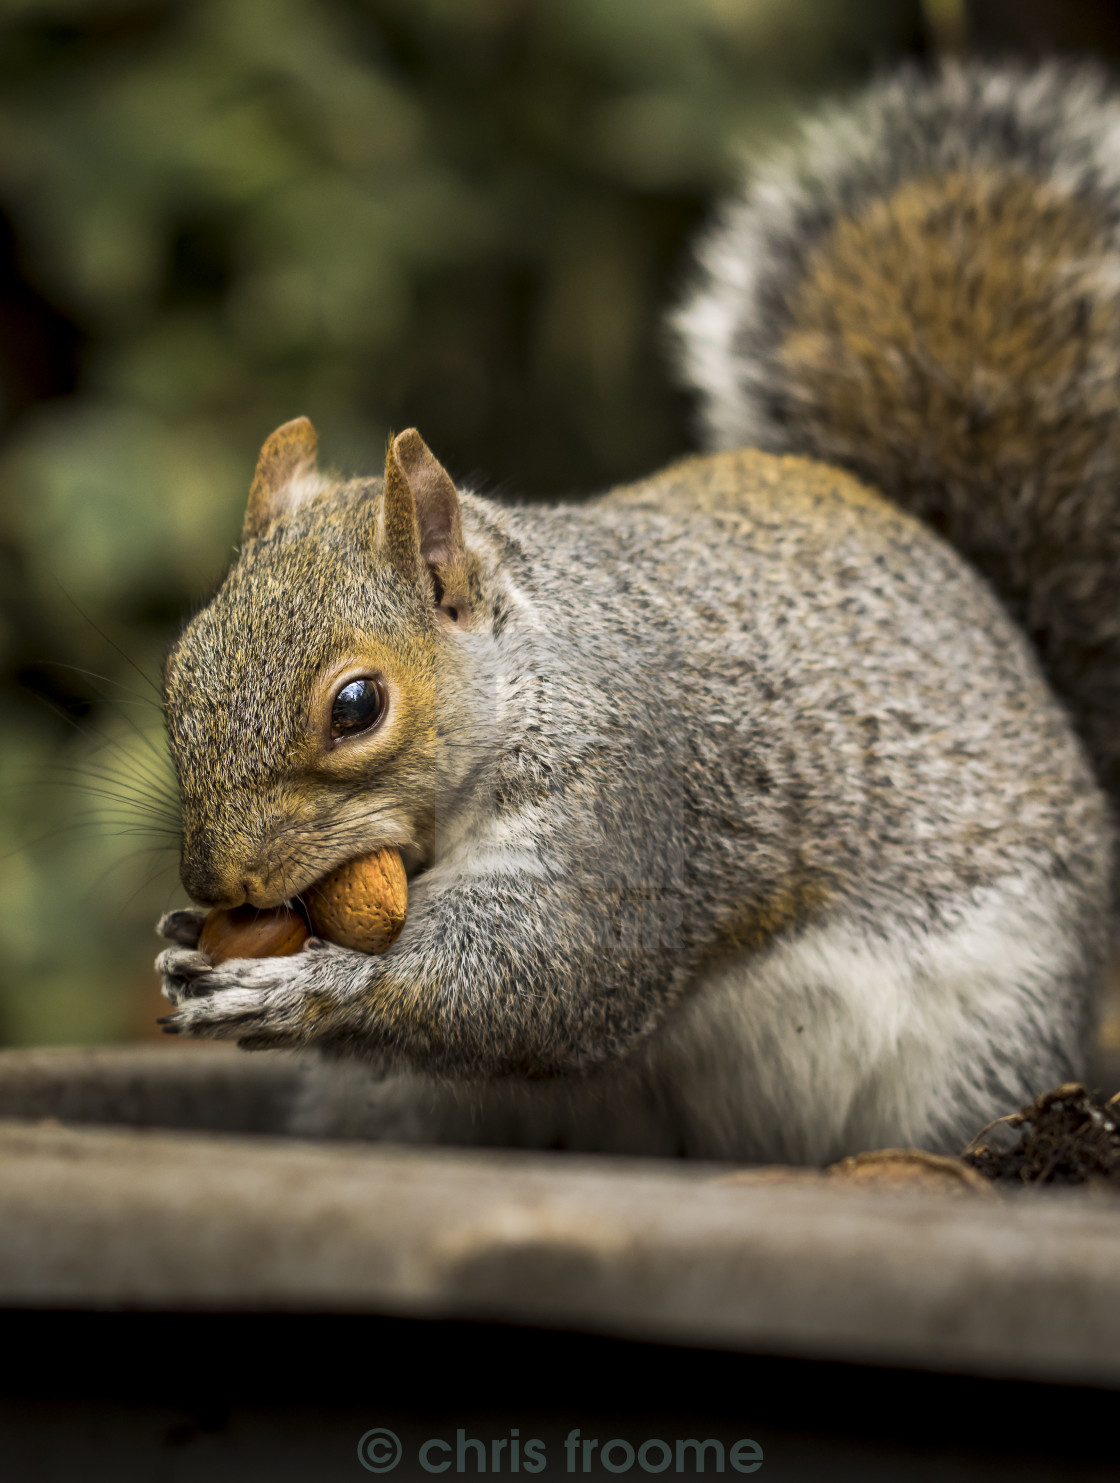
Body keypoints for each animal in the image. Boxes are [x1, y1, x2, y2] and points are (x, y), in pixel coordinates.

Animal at [155, 63, 1120, 1162]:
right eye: (179, 666)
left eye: (356, 706)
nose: (218, 884)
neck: (529, 678)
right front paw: (181, 944)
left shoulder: (637, 813)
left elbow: (533, 980)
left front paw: (304, 984)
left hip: (978, 1034)